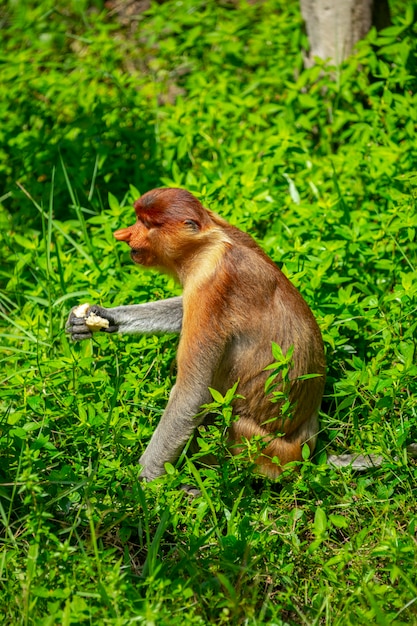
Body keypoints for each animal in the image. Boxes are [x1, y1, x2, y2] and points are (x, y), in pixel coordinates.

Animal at [66, 188, 324, 480]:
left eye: (148, 224)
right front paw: (98, 317)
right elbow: (183, 311)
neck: (207, 242)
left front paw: (142, 483)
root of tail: (302, 449)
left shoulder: (211, 285)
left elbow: (192, 396)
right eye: (138, 220)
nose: (124, 234)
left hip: (255, 444)